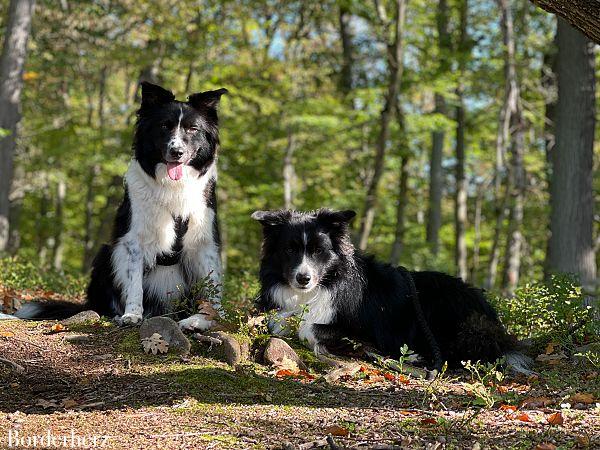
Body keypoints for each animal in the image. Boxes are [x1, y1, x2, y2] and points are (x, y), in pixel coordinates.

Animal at [17, 82, 227, 330]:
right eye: (164, 126)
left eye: (193, 129)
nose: (177, 152)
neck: (172, 187)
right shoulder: (132, 240)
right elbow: (134, 281)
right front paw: (132, 314)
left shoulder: (204, 242)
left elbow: (211, 289)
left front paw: (205, 319)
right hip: (104, 252)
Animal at [251, 209, 532, 370]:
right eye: (290, 250)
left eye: (319, 251)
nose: (303, 278)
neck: (325, 283)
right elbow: (277, 322)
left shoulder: (367, 329)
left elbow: (308, 327)